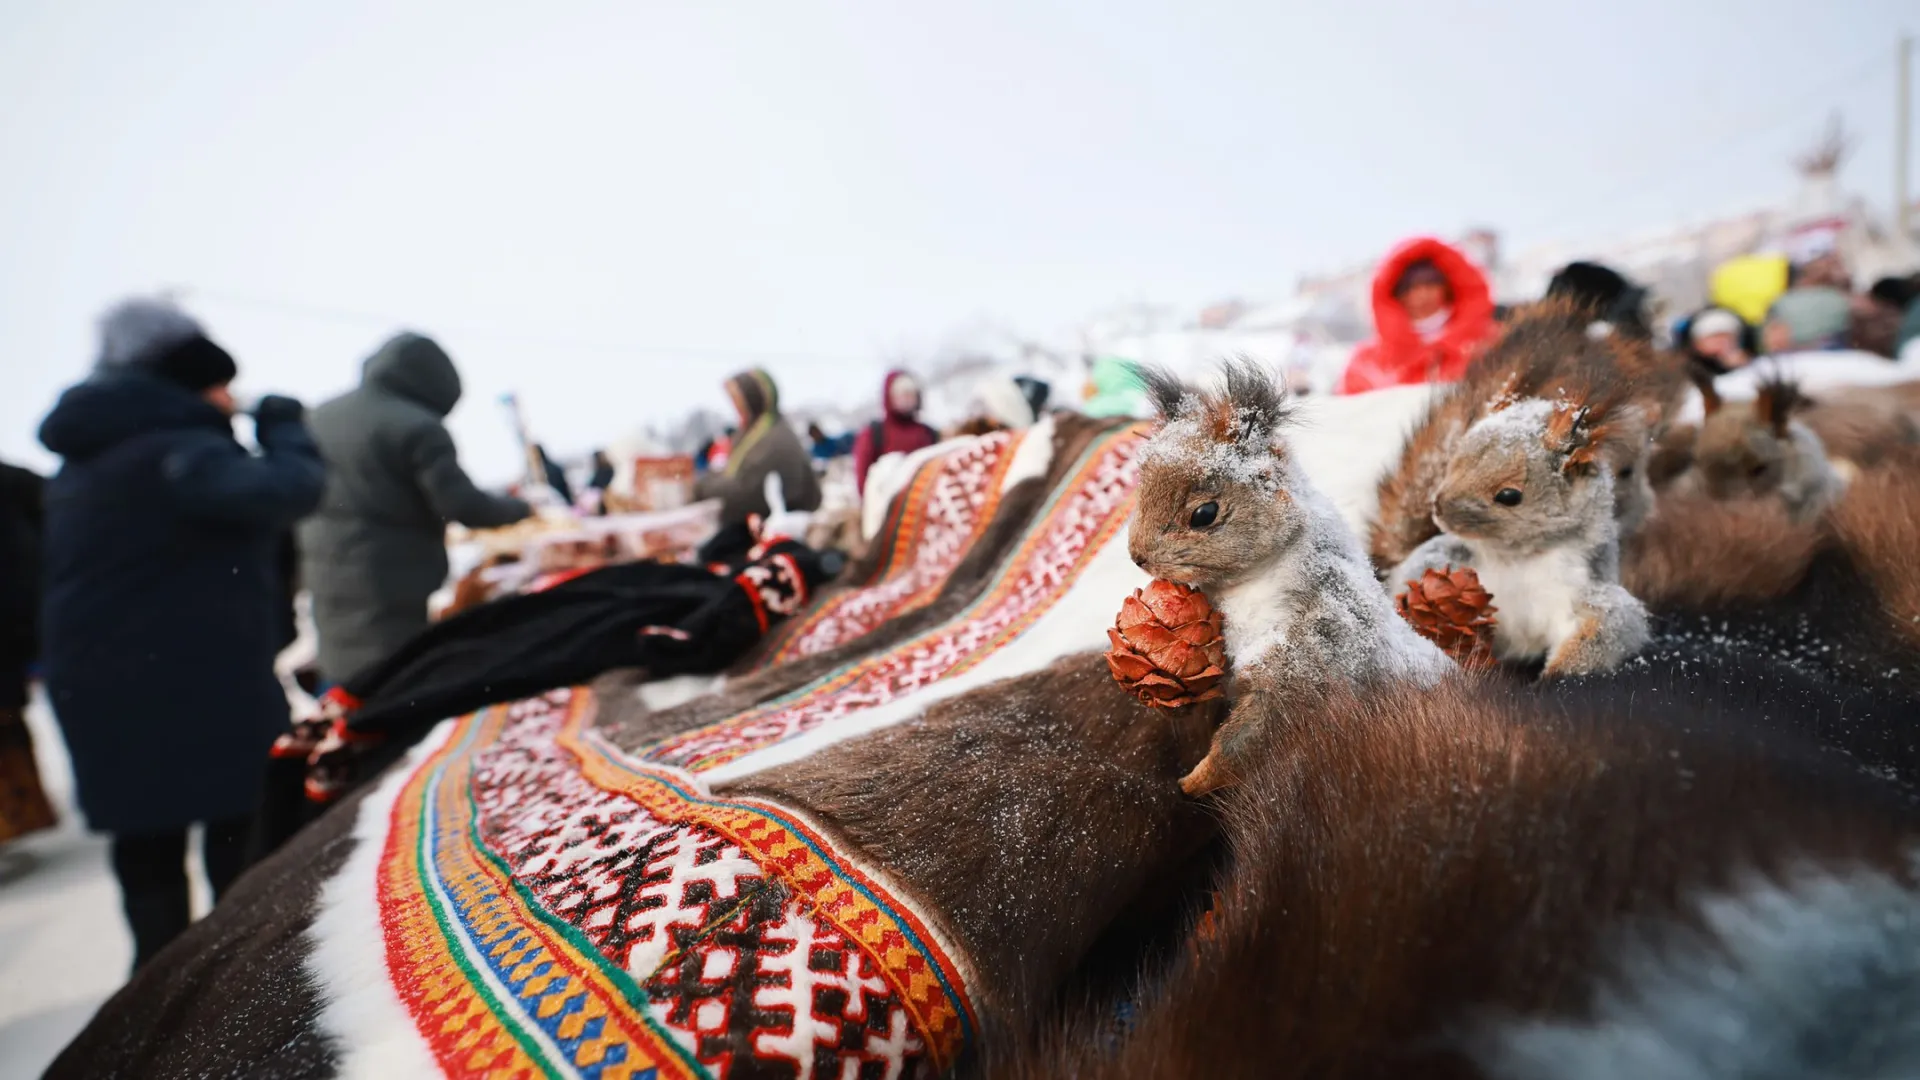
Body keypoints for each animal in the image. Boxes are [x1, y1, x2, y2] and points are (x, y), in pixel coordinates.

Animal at [1128, 361, 1443, 791]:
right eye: (1138, 489)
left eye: (1204, 514)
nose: (1137, 556)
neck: (1244, 588)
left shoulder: (1312, 652)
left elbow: (1259, 732)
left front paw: (1195, 781)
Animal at [1382, 382, 1651, 676]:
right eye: (1452, 463)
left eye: (1509, 495)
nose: (1438, 506)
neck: (1518, 559)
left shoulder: (1582, 592)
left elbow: (1601, 630)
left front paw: (1554, 673)